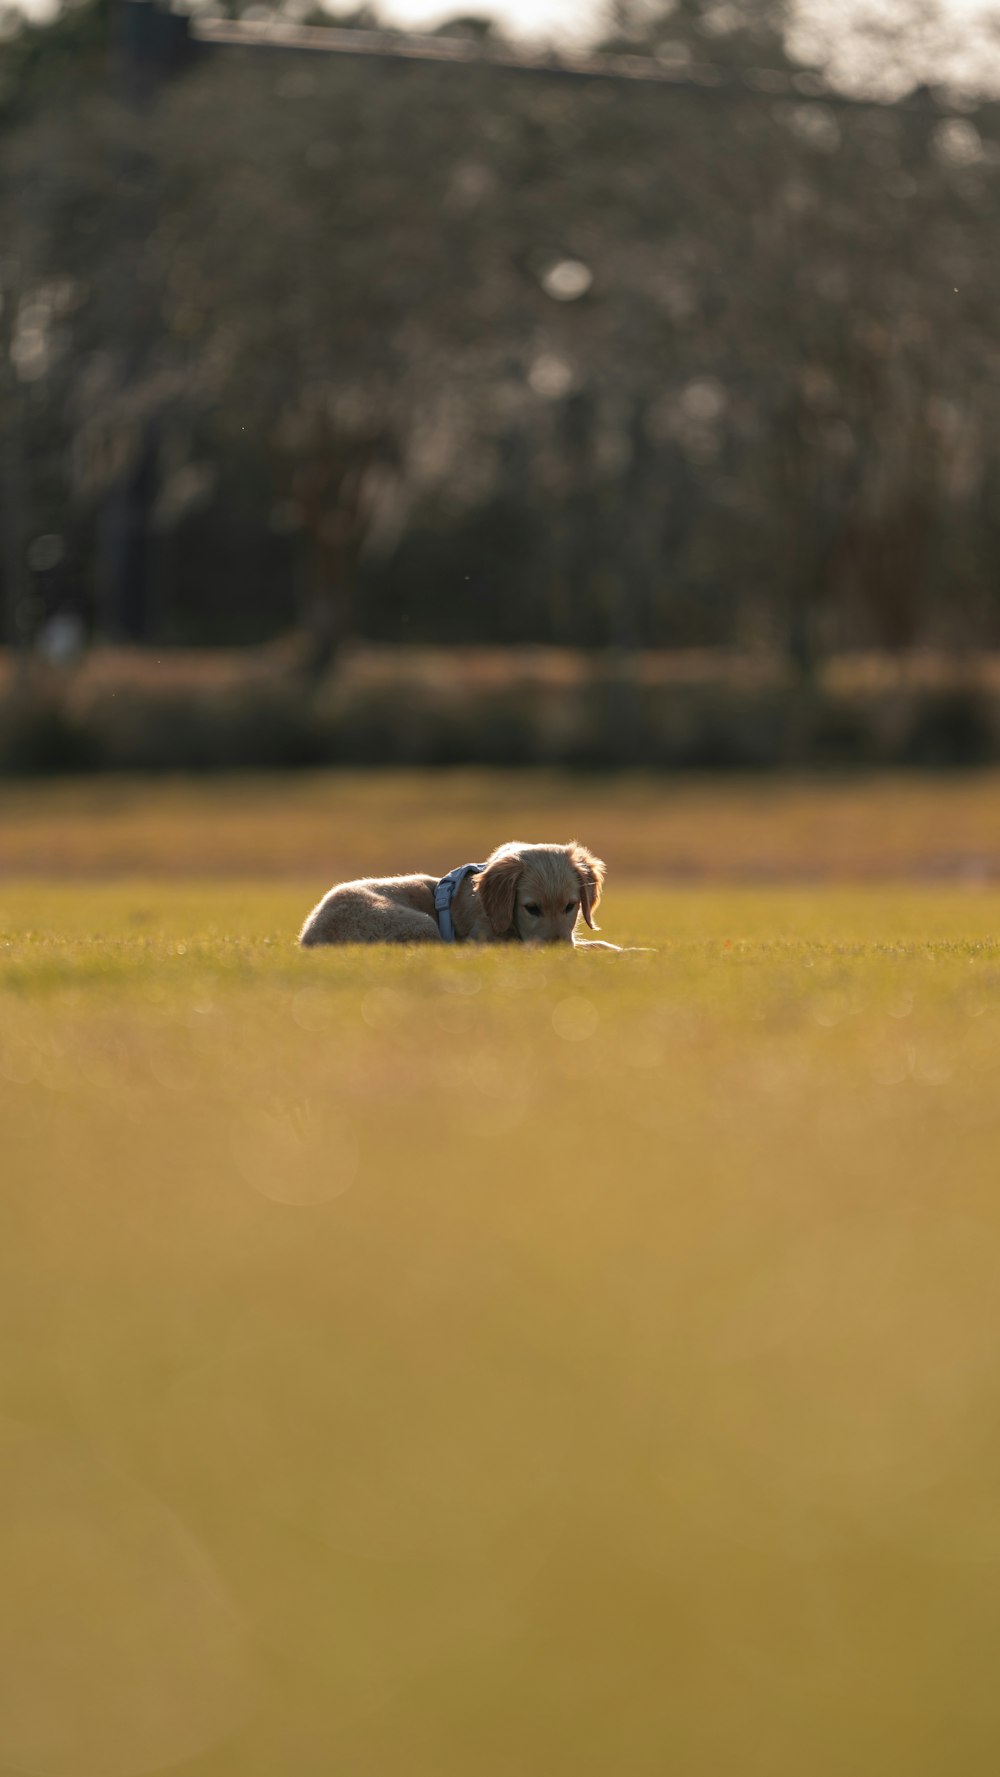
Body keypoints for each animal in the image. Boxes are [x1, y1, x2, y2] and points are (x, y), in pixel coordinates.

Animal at [294, 842, 618, 952]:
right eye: (531, 908)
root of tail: (309, 936)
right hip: (419, 923)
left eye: (570, 906)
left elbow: (593, 943)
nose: (557, 952)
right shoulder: (487, 940)